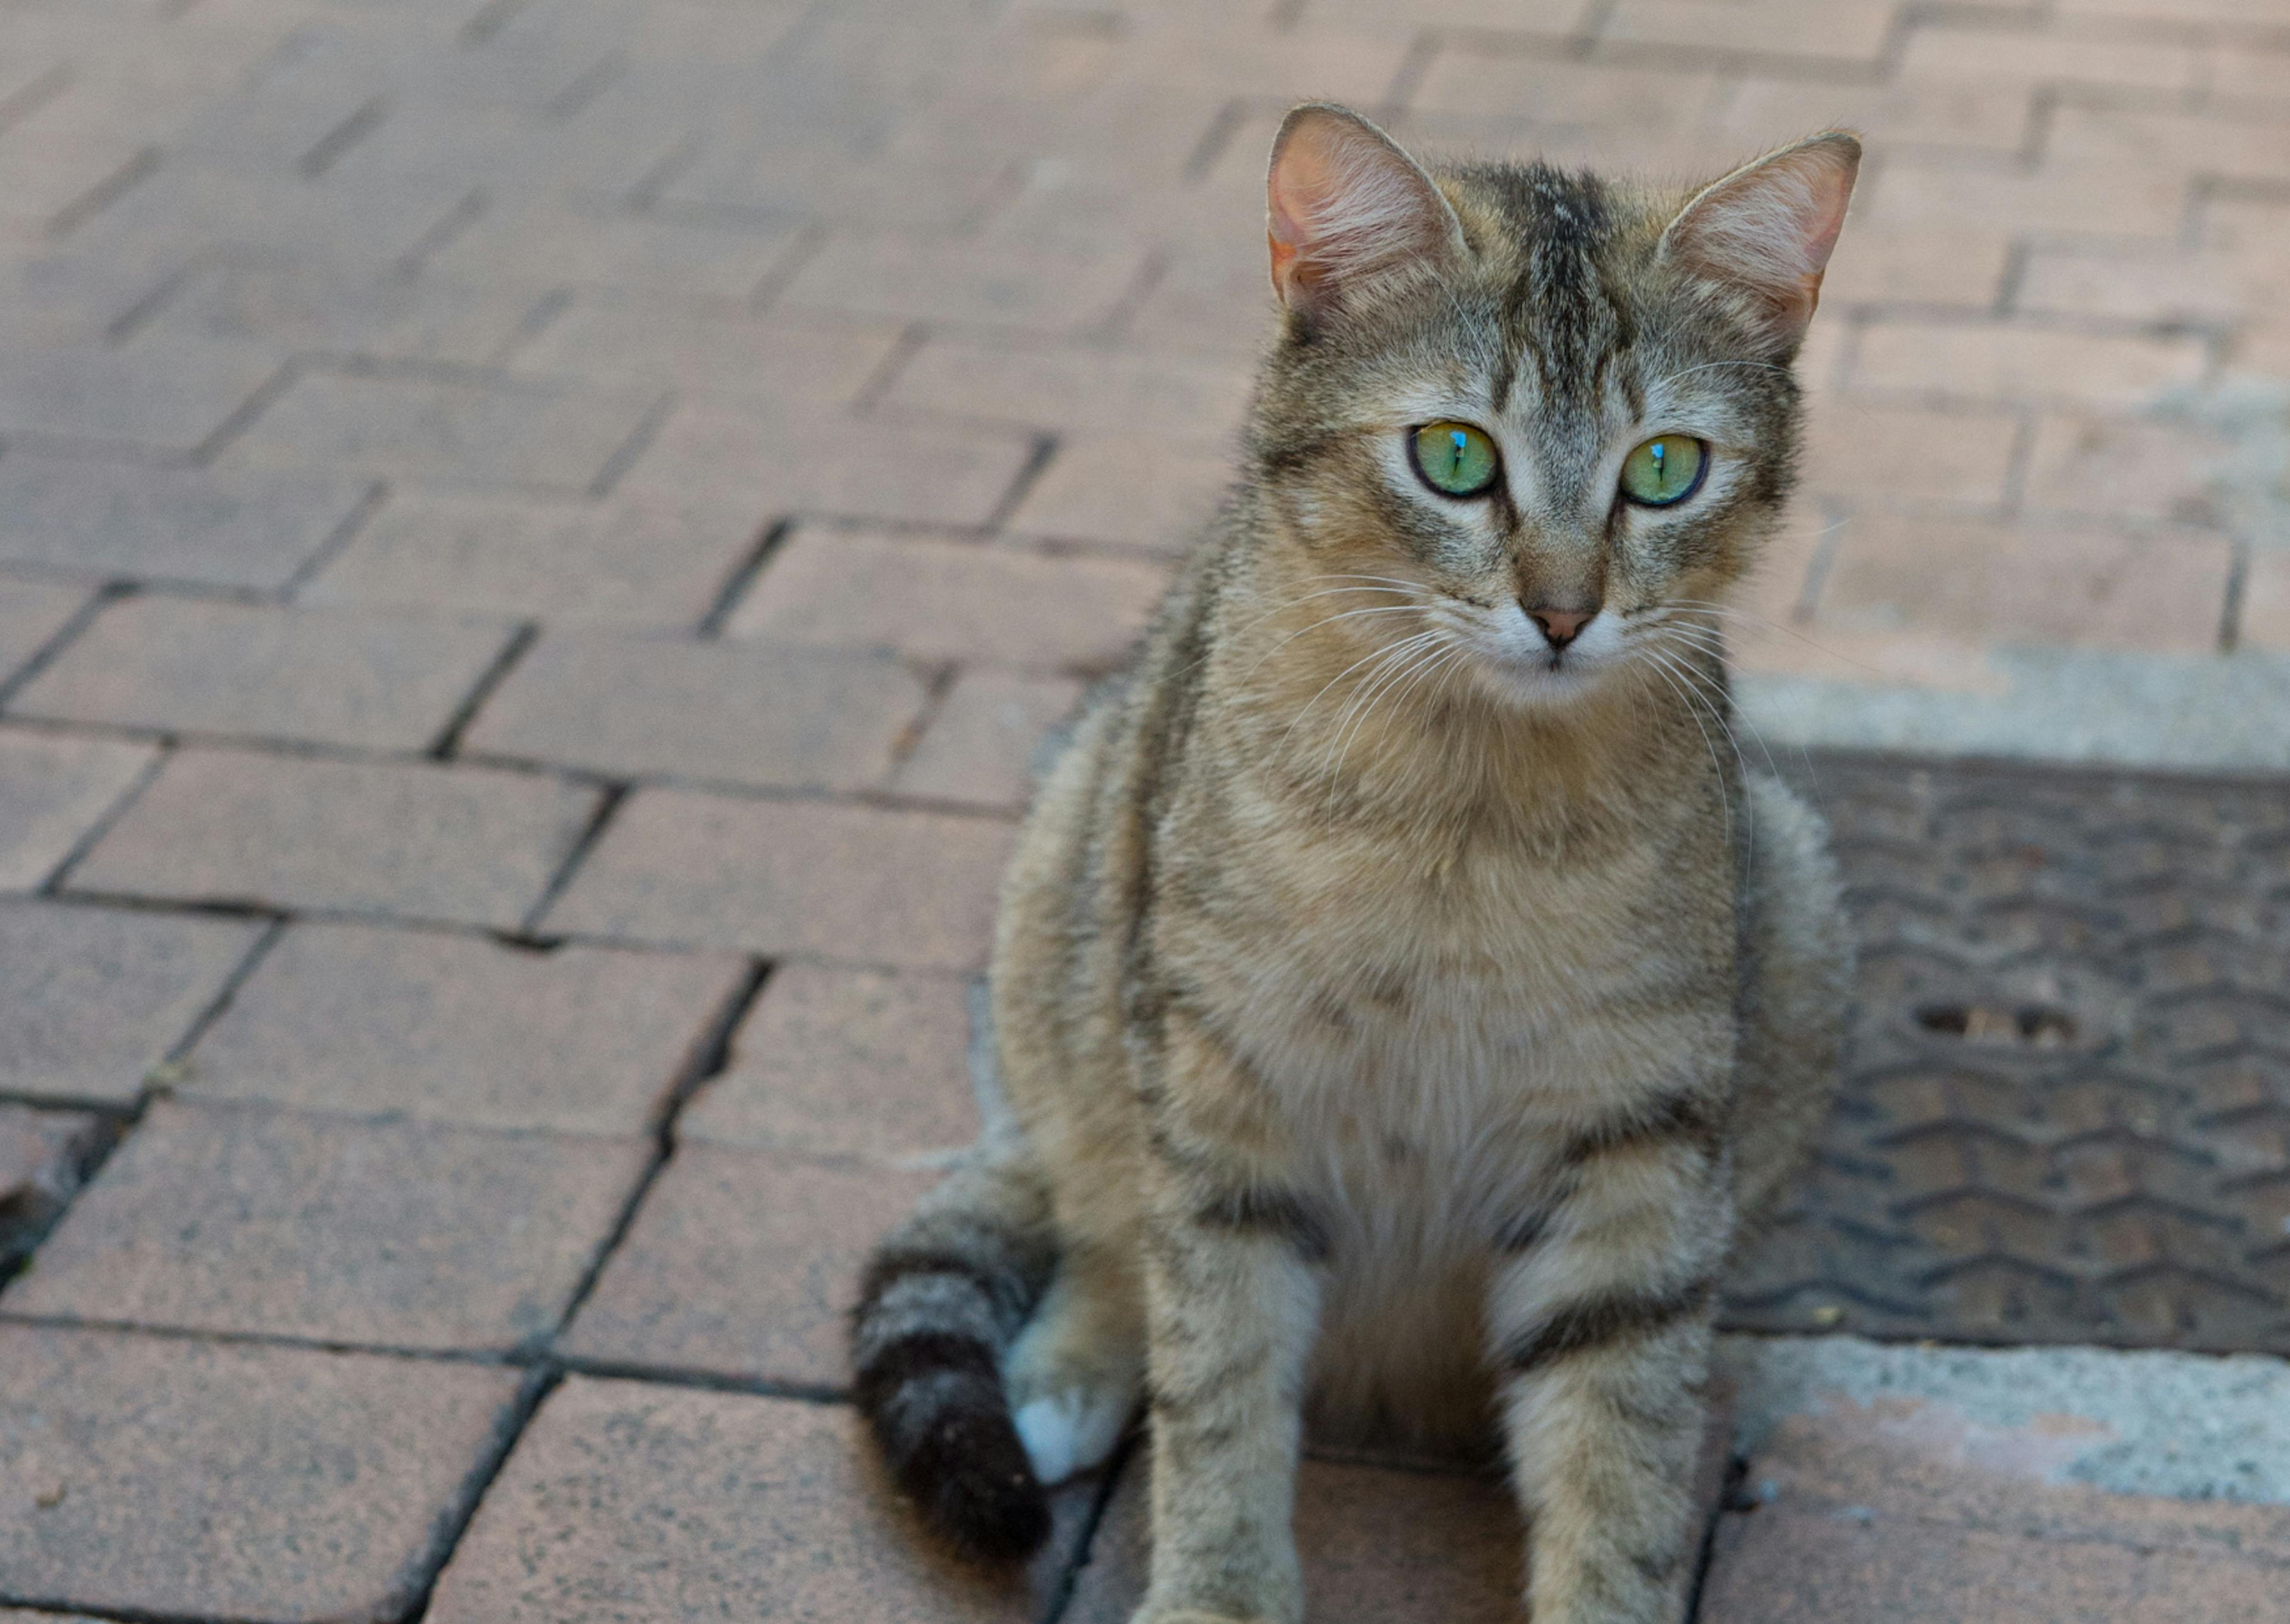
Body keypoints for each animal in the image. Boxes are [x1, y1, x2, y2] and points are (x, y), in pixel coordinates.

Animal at [852, 101, 1850, 1622]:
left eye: (1664, 470)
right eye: (1454, 456)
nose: (1564, 613)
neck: (1466, 814)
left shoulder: (1638, 1134)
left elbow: (1621, 1436)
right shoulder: (1219, 1100)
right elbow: (1216, 1376)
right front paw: (1213, 1592)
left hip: (1787, 910)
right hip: (1072, 917)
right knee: (1106, 1225)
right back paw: (1063, 1373)